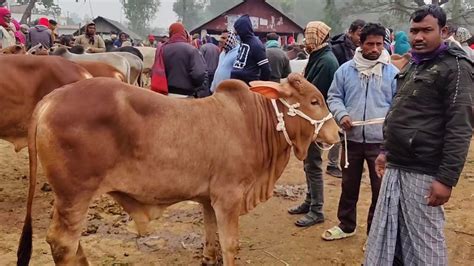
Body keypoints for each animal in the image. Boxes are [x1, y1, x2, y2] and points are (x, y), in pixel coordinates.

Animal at [16, 73, 338, 266]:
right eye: (314, 101)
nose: (336, 132)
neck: (253, 121)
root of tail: (50, 99)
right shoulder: (228, 197)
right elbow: (231, 244)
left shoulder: (209, 198)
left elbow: (211, 237)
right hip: (75, 195)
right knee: (62, 243)